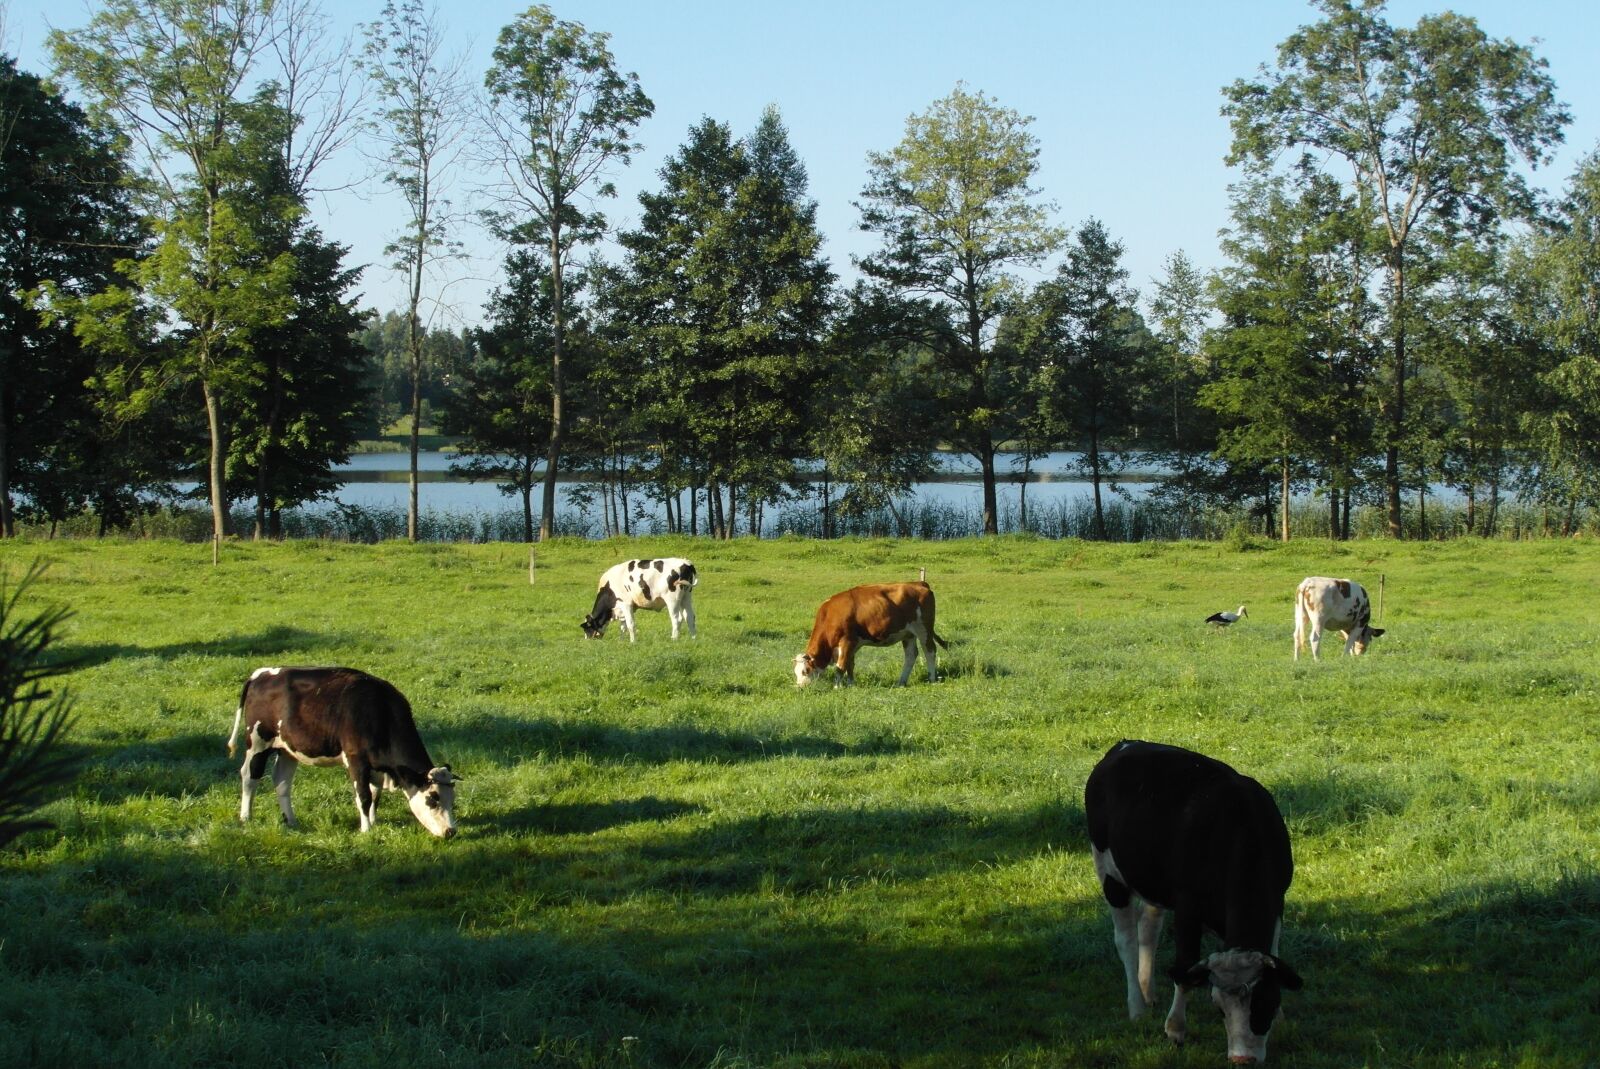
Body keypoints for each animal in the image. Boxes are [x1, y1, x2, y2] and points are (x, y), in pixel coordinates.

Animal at [227, 666, 460, 838]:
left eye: (452, 800)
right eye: (432, 799)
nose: (451, 831)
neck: (380, 711)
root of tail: (260, 674)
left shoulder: (376, 767)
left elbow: (375, 795)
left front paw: (373, 821)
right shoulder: (357, 760)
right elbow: (364, 796)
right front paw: (366, 830)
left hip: (287, 750)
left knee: (282, 782)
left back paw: (291, 821)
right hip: (258, 741)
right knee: (250, 776)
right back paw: (246, 817)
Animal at [793, 581, 948, 687]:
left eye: (805, 670)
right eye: (795, 672)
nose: (800, 687)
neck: (829, 616)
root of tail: (918, 583)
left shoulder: (847, 641)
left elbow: (841, 666)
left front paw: (837, 687)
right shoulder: (852, 644)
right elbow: (850, 664)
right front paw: (851, 684)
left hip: (924, 629)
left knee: (930, 651)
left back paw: (932, 679)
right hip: (908, 634)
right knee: (911, 655)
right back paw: (901, 682)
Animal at [1085, 740, 1302, 1065]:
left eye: (1264, 1003)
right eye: (1219, 1007)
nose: (1243, 1059)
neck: (1241, 832)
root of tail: (1125, 744)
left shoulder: (1278, 901)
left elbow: (1274, 953)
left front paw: (1280, 1019)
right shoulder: (1187, 907)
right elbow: (1185, 970)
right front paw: (1175, 1029)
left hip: (1156, 883)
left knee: (1148, 928)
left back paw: (1148, 990)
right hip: (1110, 874)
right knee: (1126, 941)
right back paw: (1137, 1006)